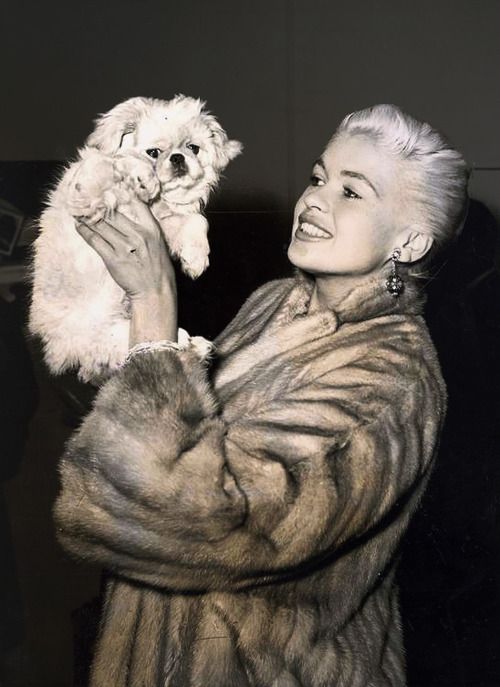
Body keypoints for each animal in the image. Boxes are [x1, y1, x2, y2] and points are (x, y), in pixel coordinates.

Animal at [29, 94, 242, 384]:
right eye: (153, 153)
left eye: (193, 148)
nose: (178, 158)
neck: (158, 202)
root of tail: (58, 352)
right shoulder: (87, 194)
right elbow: (115, 163)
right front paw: (141, 174)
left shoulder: (166, 224)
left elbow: (196, 220)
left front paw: (195, 258)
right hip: (100, 333)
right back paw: (188, 342)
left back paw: (197, 346)